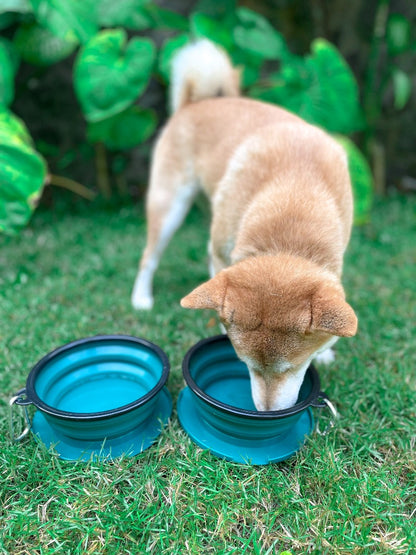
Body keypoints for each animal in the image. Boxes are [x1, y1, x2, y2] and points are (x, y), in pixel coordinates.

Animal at [131, 39, 358, 410]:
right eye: (246, 365)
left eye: (290, 368)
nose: (266, 413)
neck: (295, 191)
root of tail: (197, 102)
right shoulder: (223, 254)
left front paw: (327, 349)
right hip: (169, 206)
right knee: (148, 257)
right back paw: (141, 298)